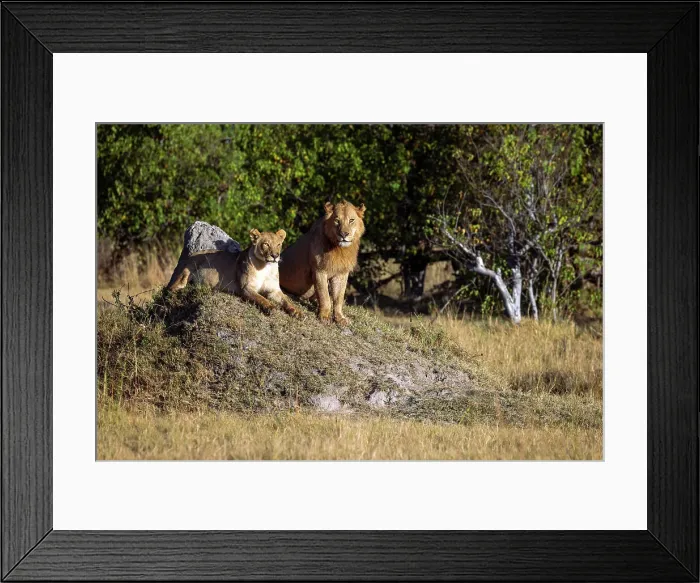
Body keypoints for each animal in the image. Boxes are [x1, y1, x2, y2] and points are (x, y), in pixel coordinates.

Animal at [166, 228, 302, 318]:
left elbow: (286, 300)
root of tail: (190, 255)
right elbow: (261, 298)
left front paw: (296, 311)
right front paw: (271, 307)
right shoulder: (246, 288)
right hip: (188, 268)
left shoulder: (274, 290)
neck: (266, 267)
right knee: (172, 287)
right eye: (266, 244)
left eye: (278, 244)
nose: (275, 256)